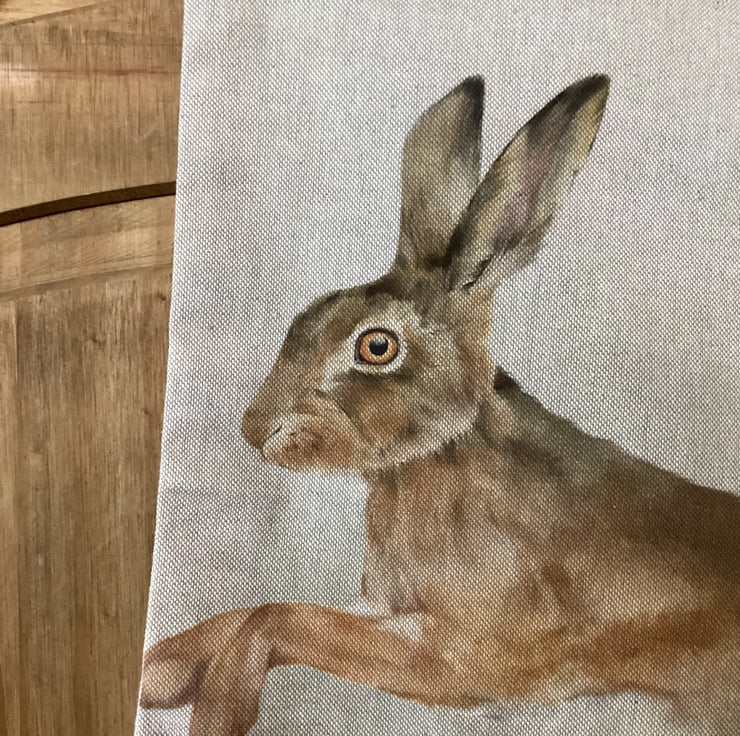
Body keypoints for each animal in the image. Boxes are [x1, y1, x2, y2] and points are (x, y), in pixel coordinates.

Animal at [138, 75, 740, 735]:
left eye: (376, 346)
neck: (441, 452)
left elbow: (277, 617)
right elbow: (257, 612)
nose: (255, 428)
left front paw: (213, 709)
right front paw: (162, 671)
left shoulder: (465, 658)